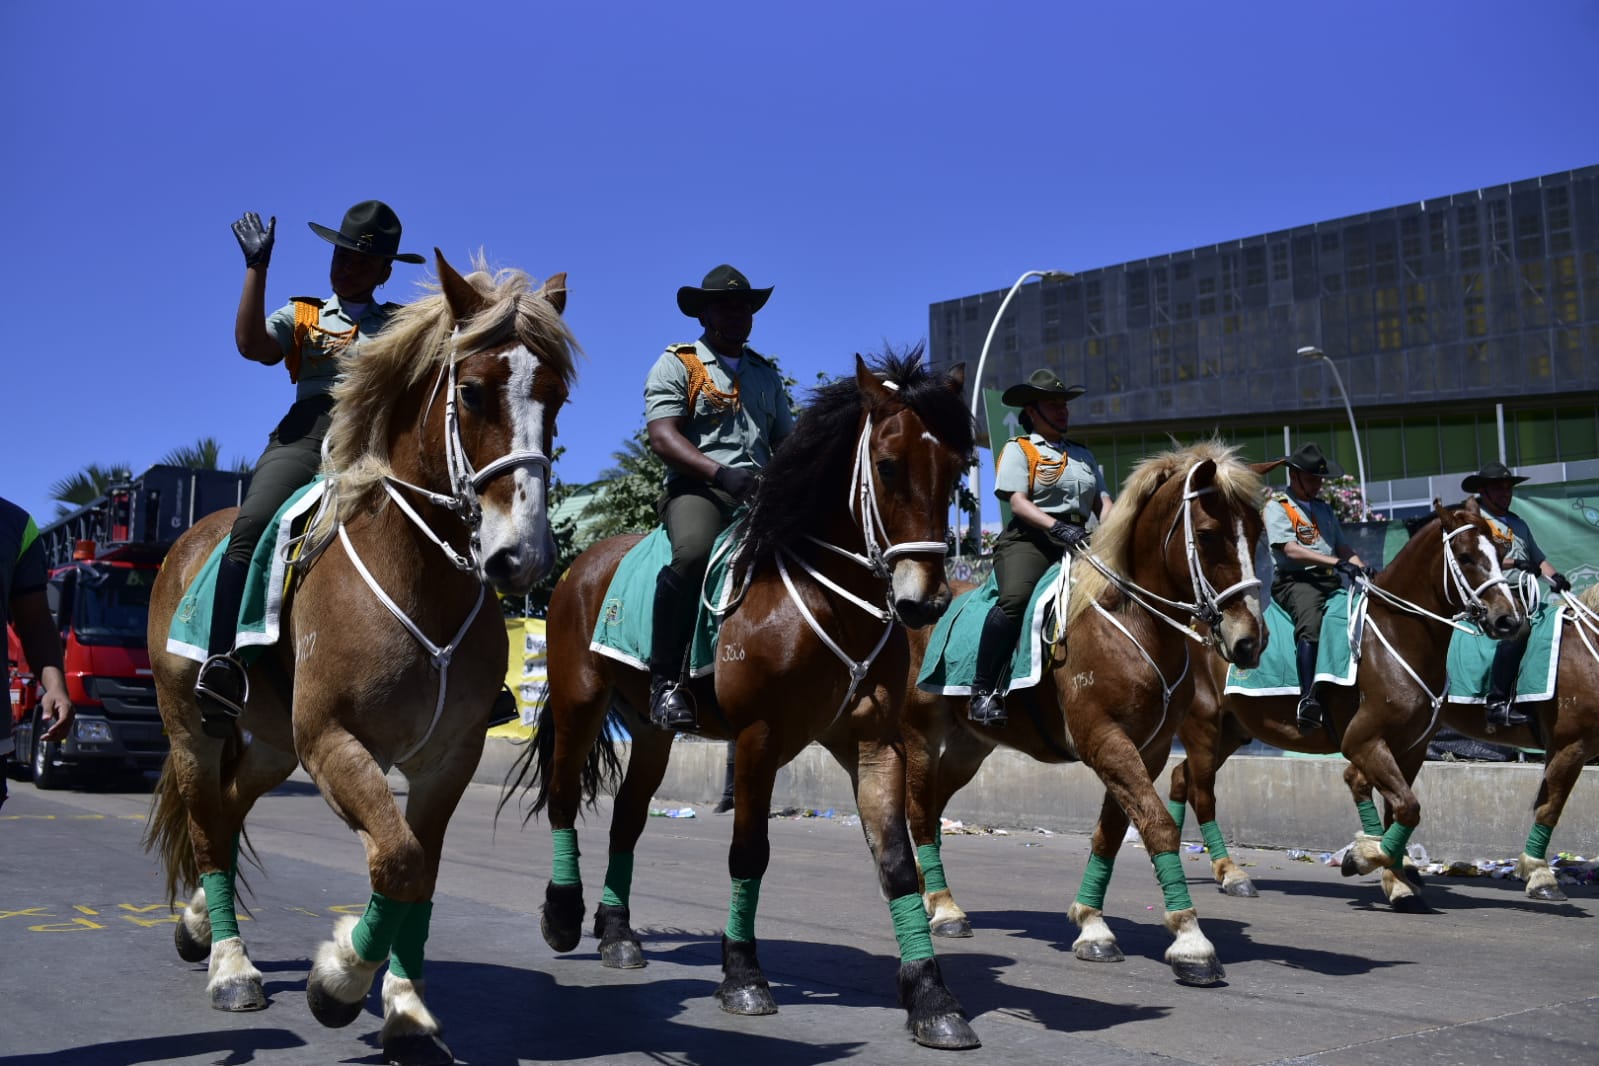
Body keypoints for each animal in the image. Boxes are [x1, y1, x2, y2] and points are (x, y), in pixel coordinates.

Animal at [142, 254, 582, 1061]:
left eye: (556, 397)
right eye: (472, 390)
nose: (523, 557)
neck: (418, 574)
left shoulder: (447, 759)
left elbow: (420, 875)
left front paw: (405, 1007)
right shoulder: (334, 741)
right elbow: (399, 861)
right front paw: (340, 980)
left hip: (273, 744)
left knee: (228, 807)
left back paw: (197, 926)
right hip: (193, 729)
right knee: (206, 826)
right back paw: (230, 965)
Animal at [518, 351, 978, 1048]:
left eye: (954, 469)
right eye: (889, 464)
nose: (925, 601)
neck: (824, 597)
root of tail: (582, 566)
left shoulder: (875, 743)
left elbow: (898, 863)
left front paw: (931, 995)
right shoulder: (759, 738)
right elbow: (748, 853)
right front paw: (742, 974)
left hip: (652, 732)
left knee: (628, 818)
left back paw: (617, 931)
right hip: (579, 704)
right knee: (566, 797)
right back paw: (564, 913)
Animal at [908, 441, 1266, 984]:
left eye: (1260, 531)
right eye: (1207, 535)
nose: (1249, 640)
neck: (1132, 621)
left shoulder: (1146, 749)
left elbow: (1112, 832)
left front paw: (1092, 924)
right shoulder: (1103, 737)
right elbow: (1157, 825)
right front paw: (1191, 941)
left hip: (969, 747)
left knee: (931, 811)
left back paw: (940, 903)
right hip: (920, 736)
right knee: (915, 810)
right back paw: (943, 906)